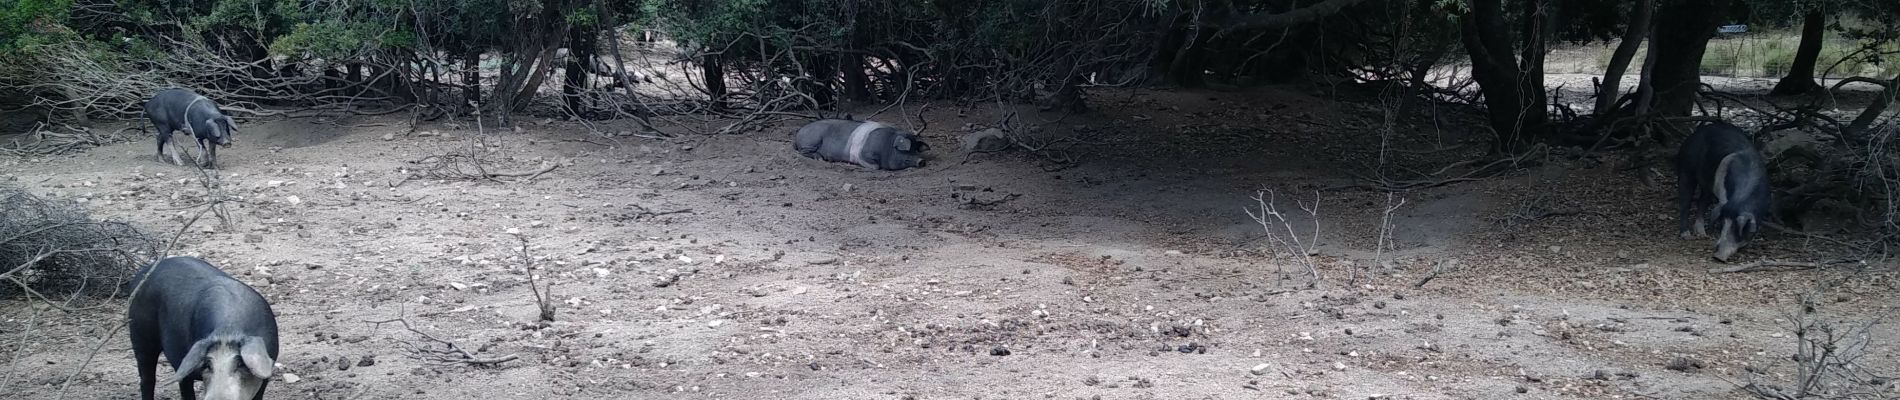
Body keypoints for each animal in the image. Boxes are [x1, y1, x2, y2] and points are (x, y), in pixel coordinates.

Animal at [128, 255, 277, 400]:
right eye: (207, 365)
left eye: (241, 363)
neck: (228, 330)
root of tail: (141, 273)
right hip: (140, 336)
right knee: (148, 379)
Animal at [790, 117, 931, 170]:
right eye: (906, 149)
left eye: (916, 149)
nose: (922, 161)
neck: (887, 145)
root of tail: (798, 133)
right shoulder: (864, 154)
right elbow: (875, 167)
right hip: (811, 140)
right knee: (804, 152)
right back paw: (820, 158)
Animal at [1687, 120, 1770, 261]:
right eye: (1722, 225)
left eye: (1737, 229)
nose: (1718, 257)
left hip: (1707, 185)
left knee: (1703, 200)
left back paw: (1702, 233)